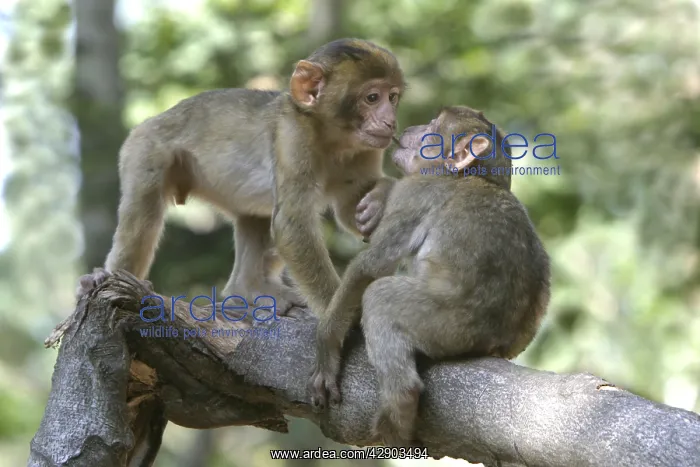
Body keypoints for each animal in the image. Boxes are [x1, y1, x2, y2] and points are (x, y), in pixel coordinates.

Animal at [76, 39, 404, 316]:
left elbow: (350, 211)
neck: (334, 138)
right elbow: (293, 225)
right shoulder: (293, 136)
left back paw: (246, 289)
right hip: (144, 149)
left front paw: (381, 198)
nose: (391, 121)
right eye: (372, 97)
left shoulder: (367, 150)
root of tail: (151, 120)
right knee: (143, 211)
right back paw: (107, 276)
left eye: (392, 97)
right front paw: (340, 316)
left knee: (254, 216)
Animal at [307, 106, 551, 447]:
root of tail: (493, 342)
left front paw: (327, 344)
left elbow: (370, 268)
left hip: (446, 324)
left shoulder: (417, 191)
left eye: (433, 126)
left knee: (380, 296)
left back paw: (399, 408)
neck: (473, 177)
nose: (410, 127)